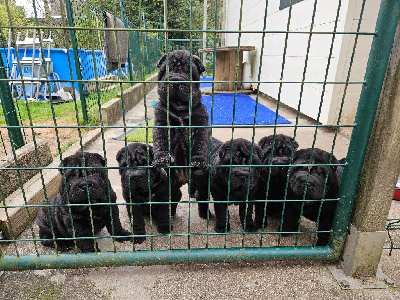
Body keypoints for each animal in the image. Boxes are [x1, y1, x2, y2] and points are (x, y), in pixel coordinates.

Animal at [152, 49, 209, 216]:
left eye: (188, 72)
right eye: (166, 71)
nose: (176, 81)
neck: (180, 109)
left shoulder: (200, 122)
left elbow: (200, 144)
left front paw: (198, 161)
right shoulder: (162, 122)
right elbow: (161, 141)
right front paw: (162, 159)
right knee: (174, 196)